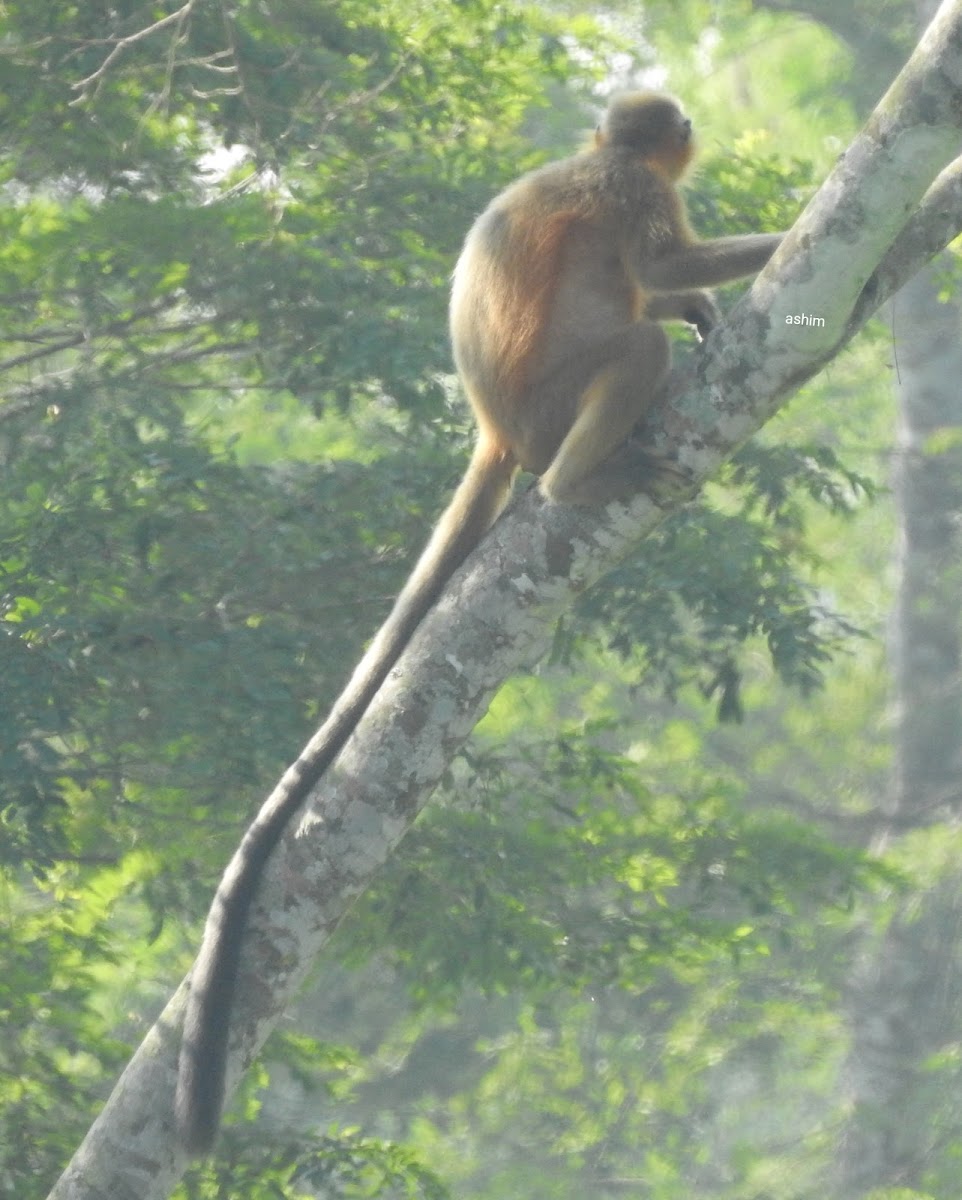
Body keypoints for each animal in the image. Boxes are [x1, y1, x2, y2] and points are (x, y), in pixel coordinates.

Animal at [176, 88, 782, 1156]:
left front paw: (711, 305)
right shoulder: (631, 188)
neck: (597, 156)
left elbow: (664, 287)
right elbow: (660, 270)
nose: (686, 127)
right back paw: (579, 479)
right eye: (672, 126)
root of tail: (499, 429)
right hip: (552, 408)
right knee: (635, 344)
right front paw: (779, 242)